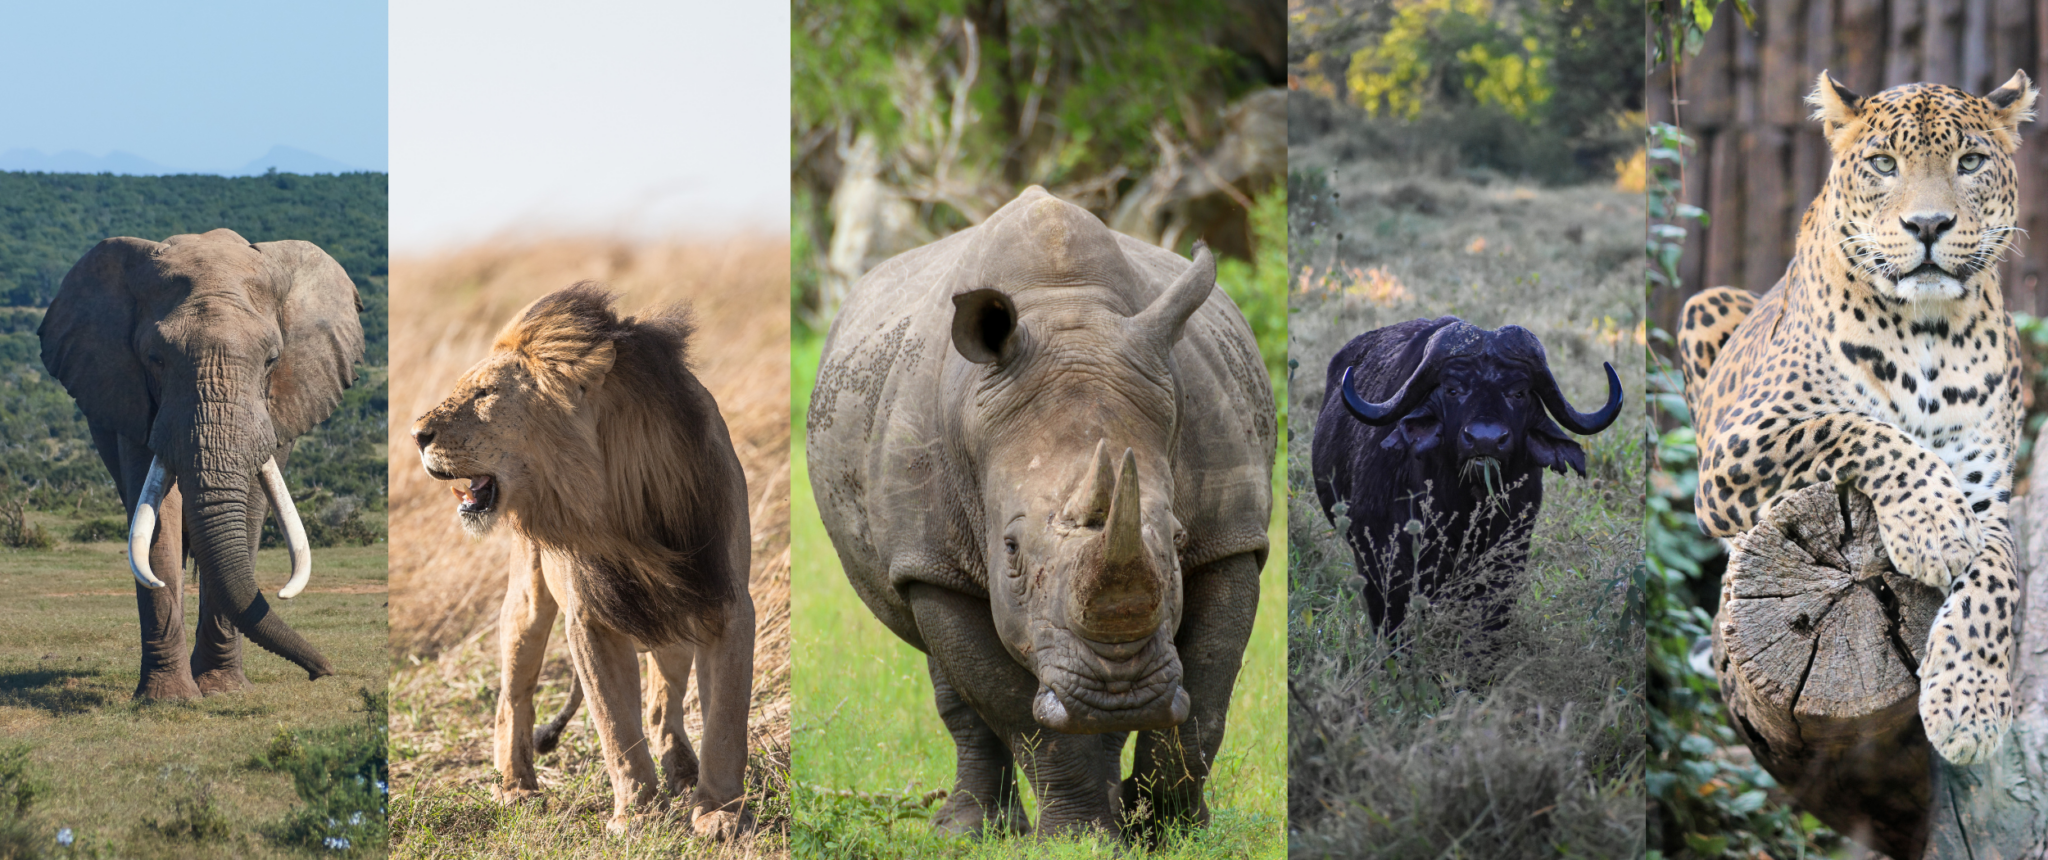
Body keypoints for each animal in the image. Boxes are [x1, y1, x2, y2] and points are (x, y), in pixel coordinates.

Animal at [411, 282, 756, 836]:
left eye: (485, 394)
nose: (415, 435)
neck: (622, 503)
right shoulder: (590, 619)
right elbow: (615, 726)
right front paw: (635, 816)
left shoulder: (723, 600)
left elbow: (725, 719)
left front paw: (719, 814)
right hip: (528, 602)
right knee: (513, 696)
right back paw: (516, 788)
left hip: (672, 619)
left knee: (662, 703)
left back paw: (682, 769)